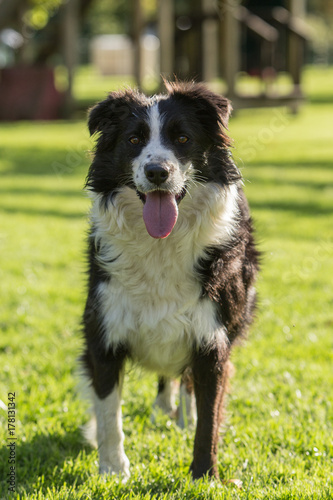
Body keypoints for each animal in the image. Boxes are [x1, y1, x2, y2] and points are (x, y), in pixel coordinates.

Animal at [81, 81, 258, 480]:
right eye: (133, 140)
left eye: (182, 138)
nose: (157, 172)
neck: (160, 244)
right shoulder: (104, 330)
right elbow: (108, 409)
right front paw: (113, 470)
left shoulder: (212, 337)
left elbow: (210, 416)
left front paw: (204, 475)